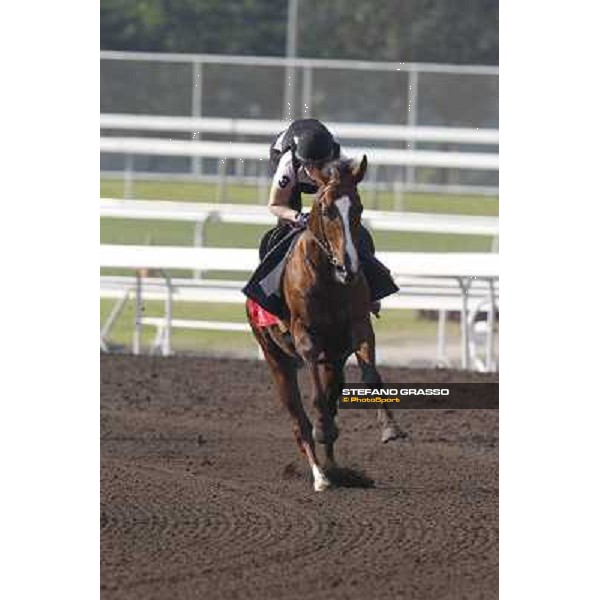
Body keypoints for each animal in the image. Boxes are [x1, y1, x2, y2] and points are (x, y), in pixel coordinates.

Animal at [246, 156, 400, 492]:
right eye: (326, 209)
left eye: (358, 207)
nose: (349, 267)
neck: (330, 280)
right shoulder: (305, 336)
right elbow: (315, 397)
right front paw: (322, 432)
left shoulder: (358, 327)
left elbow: (371, 375)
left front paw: (391, 428)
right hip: (275, 358)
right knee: (298, 420)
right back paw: (320, 475)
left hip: (334, 361)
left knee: (330, 402)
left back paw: (333, 467)